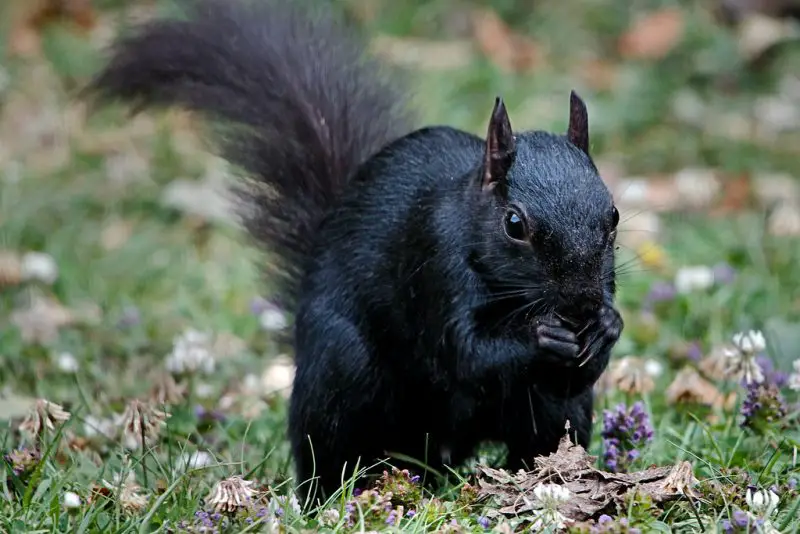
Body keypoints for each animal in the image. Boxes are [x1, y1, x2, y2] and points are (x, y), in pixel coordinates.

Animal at [86, 0, 623, 503]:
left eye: (614, 215)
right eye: (515, 225)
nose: (582, 305)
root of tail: (437, 449)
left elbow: (573, 373)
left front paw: (607, 325)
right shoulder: (433, 263)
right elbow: (466, 352)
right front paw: (542, 334)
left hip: (552, 416)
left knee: (545, 428)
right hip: (340, 370)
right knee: (329, 450)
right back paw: (331, 496)